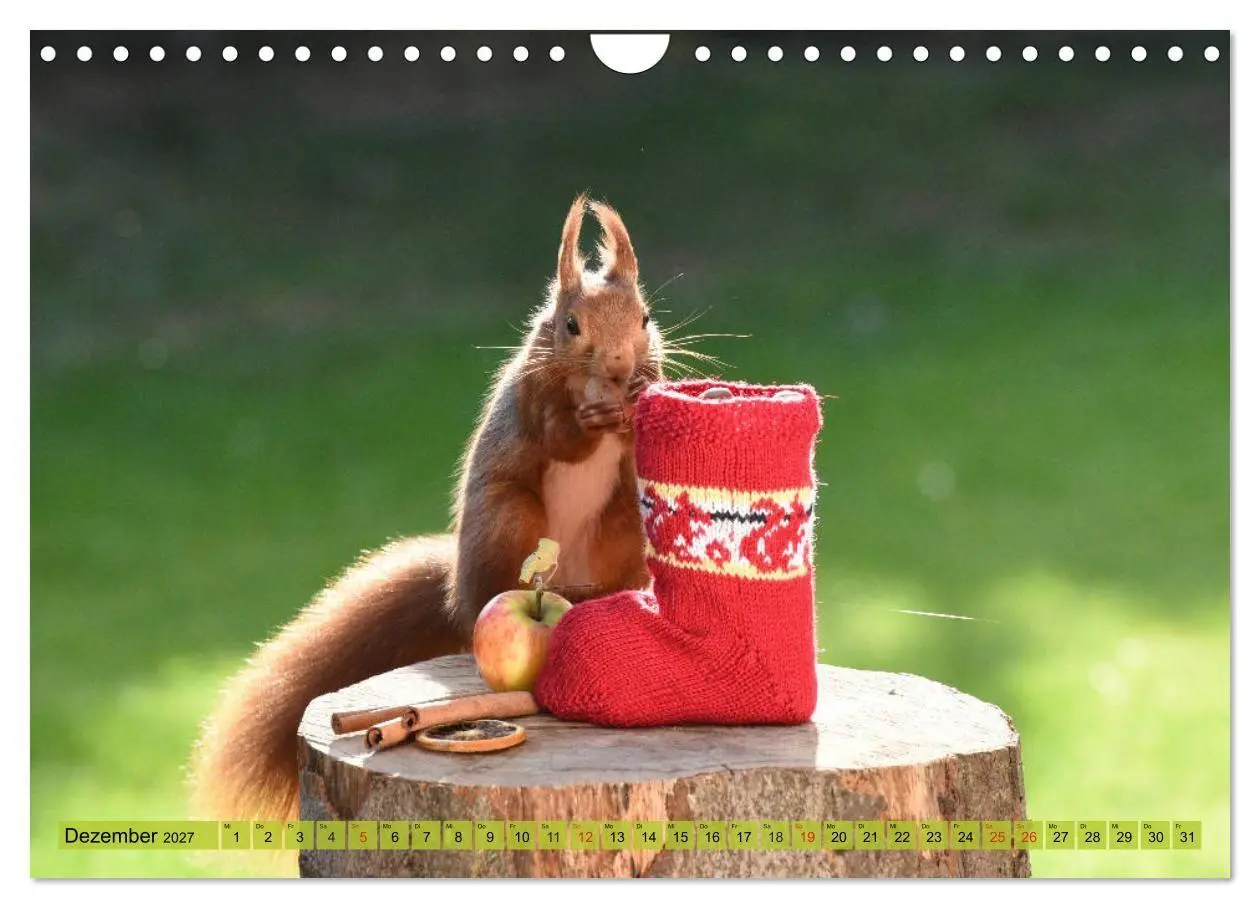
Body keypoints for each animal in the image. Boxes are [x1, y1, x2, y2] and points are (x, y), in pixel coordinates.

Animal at [189, 195, 665, 822]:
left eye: (645, 319)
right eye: (570, 325)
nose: (616, 366)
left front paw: (634, 405)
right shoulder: (533, 397)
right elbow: (557, 437)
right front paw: (588, 424)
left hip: (622, 528)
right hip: (510, 519)